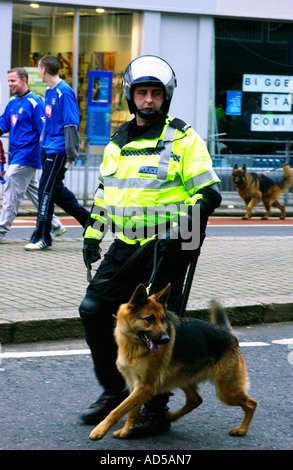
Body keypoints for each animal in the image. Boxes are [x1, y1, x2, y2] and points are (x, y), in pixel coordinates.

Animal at [89, 282, 256, 440]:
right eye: (149, 319)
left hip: (226, 391)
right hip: (185, 380)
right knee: (195, 401)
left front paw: (100, 430)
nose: (166, 339)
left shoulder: (144, 387)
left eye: (163, 319)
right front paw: (126, 431)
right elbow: (131, 411)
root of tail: (229, 335)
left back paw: (242, 429)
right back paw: (170, 416)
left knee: (251, 404)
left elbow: (117, 410)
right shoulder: (135, 386)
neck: (134, 344)